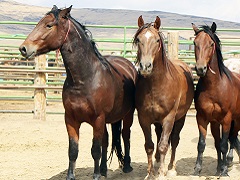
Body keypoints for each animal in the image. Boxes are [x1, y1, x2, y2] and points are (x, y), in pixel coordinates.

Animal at [18, 5, 137, 180]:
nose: (24, 48)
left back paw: (127, 166)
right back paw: (103, 170)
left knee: (126, 136)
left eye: (49, 25)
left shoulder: (98, 119)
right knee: (107, 140)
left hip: (127, 115)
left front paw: (95, 176)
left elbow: (95, 150)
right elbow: (73, 151)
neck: (84, 79)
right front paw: (71, 176)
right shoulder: (71, 120)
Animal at [134, 16, 194, 179]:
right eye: (138, 39)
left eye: (156, 40)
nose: (145, 66)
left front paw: (161, 173)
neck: (156, 85)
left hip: (180, 118)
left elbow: (163, 146)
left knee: (174, 140)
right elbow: (149, 145)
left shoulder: (169, 118)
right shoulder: (144, 118)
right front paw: (150, 173)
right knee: (159, 136)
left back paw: (171, 167)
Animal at [192, 22, 240, 176]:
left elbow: (225, 144)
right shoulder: (202, 118)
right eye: (195, 43)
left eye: (211, 44)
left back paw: (228, 162)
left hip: (236, 120)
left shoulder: (226, 119)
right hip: (214, 123)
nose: (200, 69)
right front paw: (197, 168)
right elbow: (202, 144)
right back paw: (219, 166)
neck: (214, 87)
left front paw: (224, 170)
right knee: (218, 142)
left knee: (232, 139)